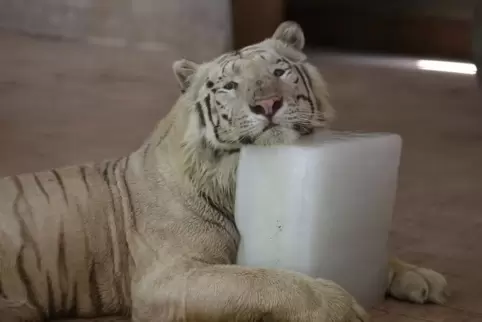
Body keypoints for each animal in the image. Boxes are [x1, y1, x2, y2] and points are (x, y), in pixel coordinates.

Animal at [0, 21, 448, 320]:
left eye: (279, 72)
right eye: (229, 87)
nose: (267, 104)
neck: (232, 178)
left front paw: (421, 278)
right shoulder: (169, 278)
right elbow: (260, 280)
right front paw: (337, 304)